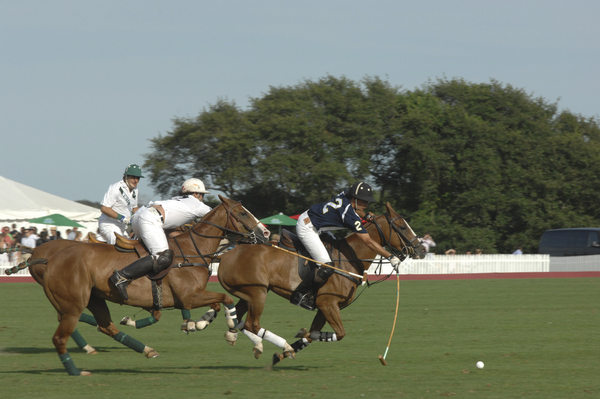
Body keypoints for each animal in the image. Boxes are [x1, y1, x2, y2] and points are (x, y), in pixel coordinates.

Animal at [29, 195, 270, 376]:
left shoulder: (190, 297)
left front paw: (199, 323)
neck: (193, 250)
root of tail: (49, 259)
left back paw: (147, 350)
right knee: (61, 336)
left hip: (94, 299)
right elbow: (225, 299)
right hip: (73, 304)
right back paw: (76, 371)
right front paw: (230, 330)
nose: (266, 233)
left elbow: (217, 304)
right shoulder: (190, 296)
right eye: (242, 213)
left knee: (106, 326)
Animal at [217, 202, 426, 364]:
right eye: (402, 227)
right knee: (250, 323)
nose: (422, 250)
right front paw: (296, 339)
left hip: (250, 294)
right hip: (257, 293)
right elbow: (336, 333)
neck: (349, 259)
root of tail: (226, 253)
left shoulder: (326, 308)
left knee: (238, 318)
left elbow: (313, 334)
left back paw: (235, 336)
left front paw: (282, 354)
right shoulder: (327, 303)